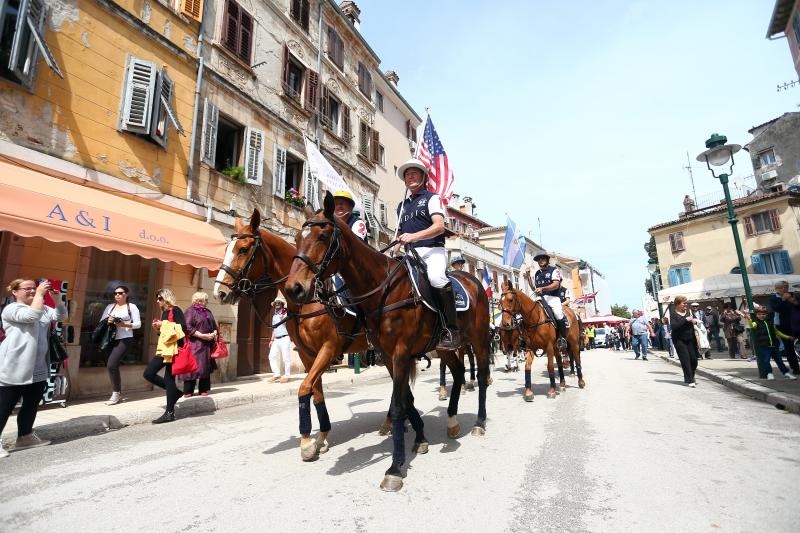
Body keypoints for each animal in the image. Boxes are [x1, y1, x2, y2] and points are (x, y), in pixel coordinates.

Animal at [209, 208, 428, 462]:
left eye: (243, 249)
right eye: (227, 247)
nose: (219, 292)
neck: (309, 299)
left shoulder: (328, 348)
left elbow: (305, 388)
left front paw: (306, 442)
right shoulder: (307, 354)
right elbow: (316, 393)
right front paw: (320, 437)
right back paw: (391, 422)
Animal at [284, 192, 490, 490]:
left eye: (322, 236)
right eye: (298, 238)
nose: (294, 288)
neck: (382, 288)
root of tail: (473, 281)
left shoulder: (400, 353)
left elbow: (399, 404)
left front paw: (394, 468)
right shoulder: (387, 355)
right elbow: (405, 398)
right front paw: (419, 440)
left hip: (480, 340)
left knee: (482, 375)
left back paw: (479, 423)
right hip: (444, 347)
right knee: (459, 372)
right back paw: (451, 421)